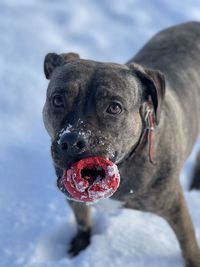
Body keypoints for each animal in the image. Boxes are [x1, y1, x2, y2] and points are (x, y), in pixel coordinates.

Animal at [42, 22, 200, 266]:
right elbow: (82, 220)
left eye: (114, 108)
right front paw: (80, 246)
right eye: (57, 100)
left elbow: (189, 246)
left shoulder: (175, 208)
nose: (71, 140)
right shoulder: (72, 197)